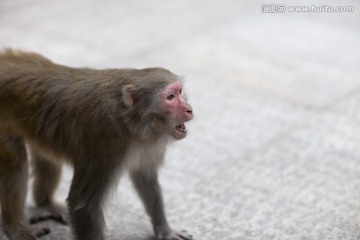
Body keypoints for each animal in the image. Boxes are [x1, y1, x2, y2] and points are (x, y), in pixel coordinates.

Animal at [0, 49, 194, 240]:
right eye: (170, 97)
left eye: (180, 91)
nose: (189, 109)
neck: (132, 123)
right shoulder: (104, 142)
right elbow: (84, 205)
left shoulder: (150, 145)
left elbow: (145, 178)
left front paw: (165, 231)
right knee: (16, 165)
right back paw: (15, 228)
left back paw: (46, 204)